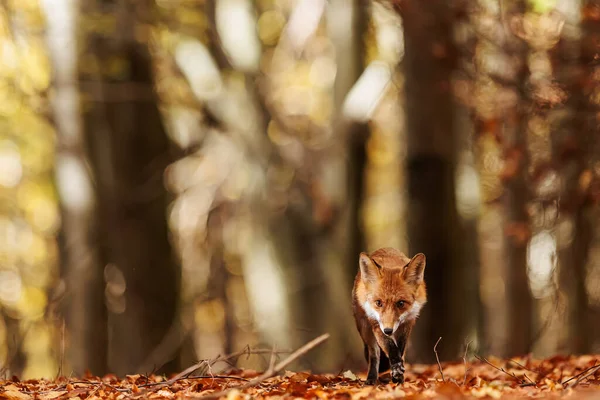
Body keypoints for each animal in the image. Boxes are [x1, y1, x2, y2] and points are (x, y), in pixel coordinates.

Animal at [352, 247, 426, 384]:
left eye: (401, 303)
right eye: (378, 303)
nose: (388, 330)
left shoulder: (408, 322)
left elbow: (400, 350)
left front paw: (398, 375)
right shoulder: (376, 324)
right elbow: (390, 346)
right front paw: (396, 368)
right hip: (364, 328)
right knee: (374, 354)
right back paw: (371, 379)